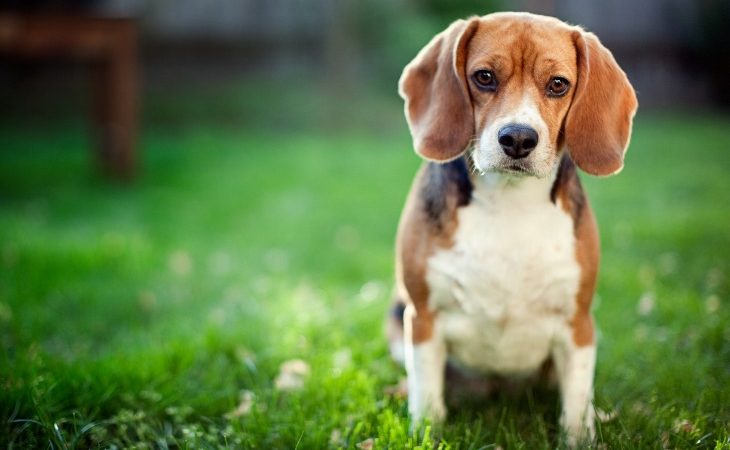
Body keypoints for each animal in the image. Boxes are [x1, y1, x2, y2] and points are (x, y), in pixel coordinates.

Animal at [390, 11, 636, 446]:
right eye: (484, 77)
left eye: (558, 84)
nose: (518, 138)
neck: (510, 202)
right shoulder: (422, 319)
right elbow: (429, 400)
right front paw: (426, 434)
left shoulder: (577, 324)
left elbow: (576, 404)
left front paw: (581, 437)